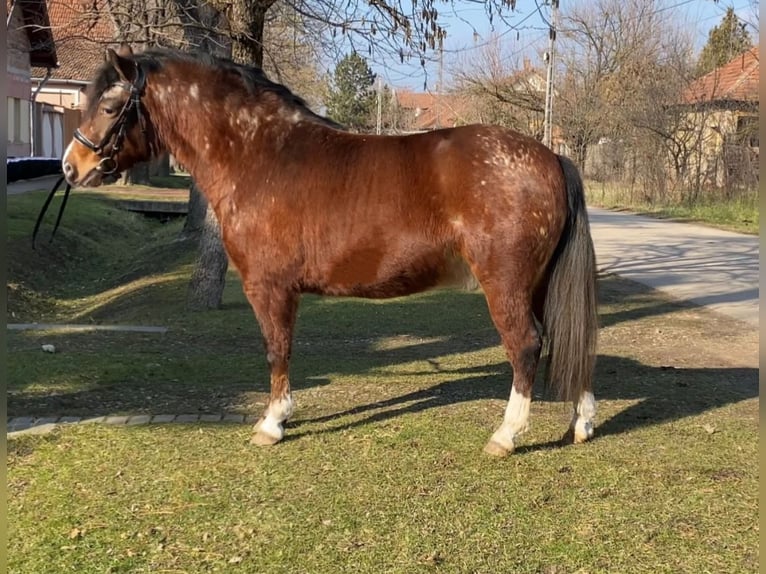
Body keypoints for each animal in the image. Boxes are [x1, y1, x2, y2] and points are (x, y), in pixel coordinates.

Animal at [63, 45, 600, 456]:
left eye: (109, 107)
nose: (72, 166)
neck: (259, 154)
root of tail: (551, 156)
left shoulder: (269, 287)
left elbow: (277, 349)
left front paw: (272, 423)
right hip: (538, 283)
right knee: (567, 338)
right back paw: (582, 421)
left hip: (505, 284)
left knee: (526, 345)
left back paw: (506, 436)